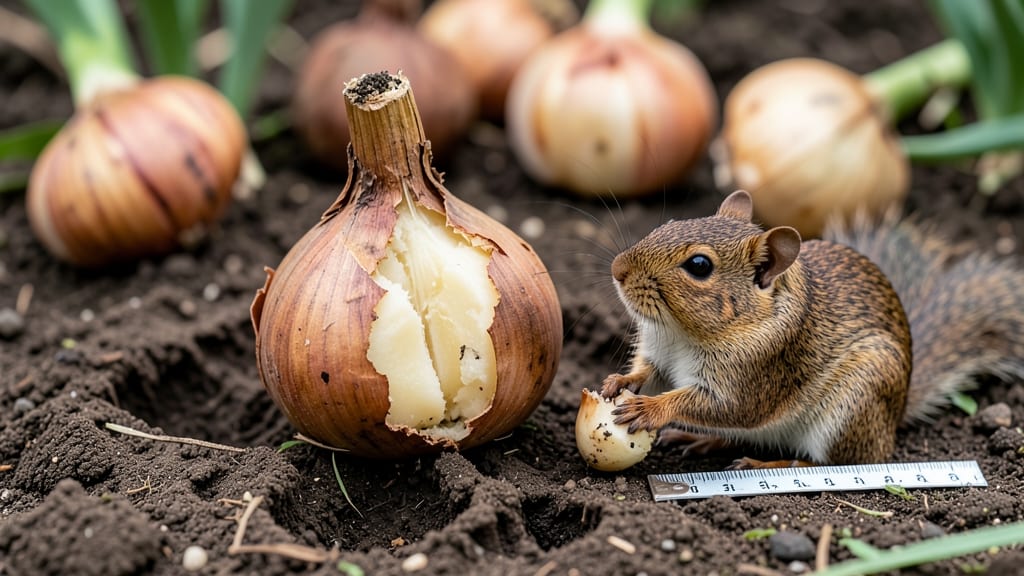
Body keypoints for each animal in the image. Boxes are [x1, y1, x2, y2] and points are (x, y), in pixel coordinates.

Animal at [602, 189, 1024, 467]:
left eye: (699, 266)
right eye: (671, 223)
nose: (617, 269)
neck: (682, 331)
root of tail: (896, 417)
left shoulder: (759, 373)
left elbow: (724, 407)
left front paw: (650, 408)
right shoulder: (659, 352)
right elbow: (649, 372)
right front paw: (619, 382)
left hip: (854, 406)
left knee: (831, 463)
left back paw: (763, 465)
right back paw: (700, 439)